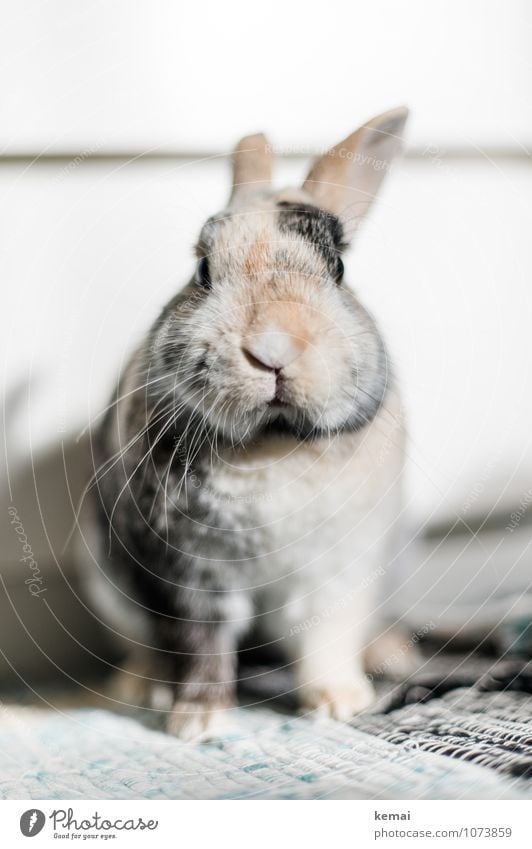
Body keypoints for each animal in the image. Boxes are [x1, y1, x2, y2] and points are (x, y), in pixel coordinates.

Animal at [86, 109, 412, 740]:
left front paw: (340, 704)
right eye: (202, 270)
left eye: (339, 268)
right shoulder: (188, 573)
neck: (272, 443)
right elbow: (201, 644)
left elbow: (325, 638)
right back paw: (140, 686)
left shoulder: (338, 571)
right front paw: (197, 723)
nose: (273, 350)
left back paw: (393, 654)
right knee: (144, 646)